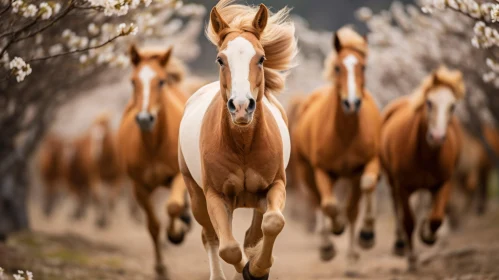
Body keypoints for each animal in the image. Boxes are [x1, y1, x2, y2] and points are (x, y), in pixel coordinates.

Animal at [118, 44, 192, 278]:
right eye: (133, 81)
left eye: (160, 81)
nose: (144, 119)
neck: (154, 145)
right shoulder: (139, 187)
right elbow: (153, 225)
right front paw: (160, 267)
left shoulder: (178, 176)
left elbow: (173, 206)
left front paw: (176, 234)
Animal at [178, 1, 296, 278]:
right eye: (220, 59)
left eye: (261, 58)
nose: (241, 107)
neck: (243, 145)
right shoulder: (215, 196)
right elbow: (228, 248)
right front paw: (249, 269)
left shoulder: (275, 186)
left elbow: (273, 223)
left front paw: (258, 268)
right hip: (197, 196)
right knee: (211, 237)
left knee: (253, 232)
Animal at [292, 26, 380, 274]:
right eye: (338, 67)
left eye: (364, 66)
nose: (352, 103)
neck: (345, 134)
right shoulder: (321, 170)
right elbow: (329, 204)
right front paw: (336, 229)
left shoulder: (363, 166)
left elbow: (358, 200)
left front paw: (358, 247)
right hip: (305, 171)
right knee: (318, 201)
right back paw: (326, 245)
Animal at [380, 65, 466, 272]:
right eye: (429, 102)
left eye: (452, 106)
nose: (437, 137)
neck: (426, 155)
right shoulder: (403, 186)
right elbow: (408, 221)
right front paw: (412, 259)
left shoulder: (444, 182)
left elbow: (436, 218)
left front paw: (428, 236)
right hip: (392, 181)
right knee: (398, 209)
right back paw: (400, 244)